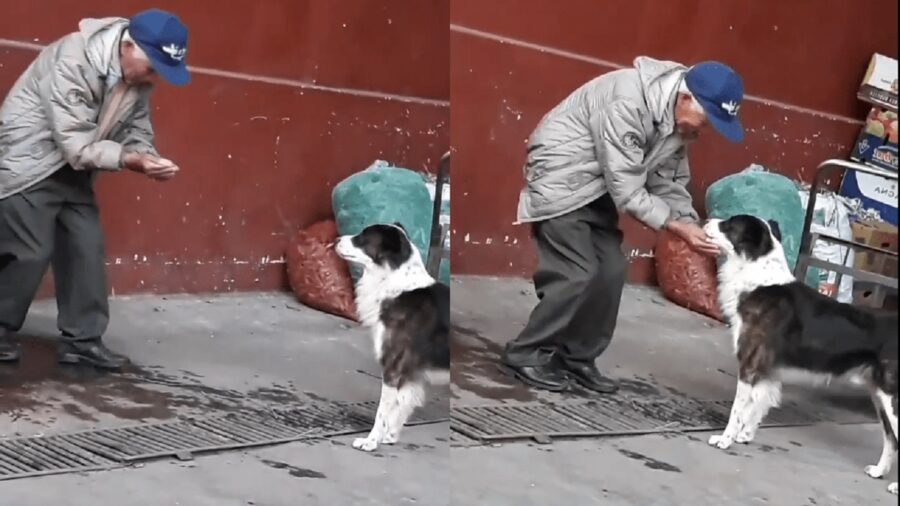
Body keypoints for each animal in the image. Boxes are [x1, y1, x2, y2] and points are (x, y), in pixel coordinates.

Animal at [334, 223, 450, 452]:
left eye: (362, 238)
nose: (335, 240)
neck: (395, 285)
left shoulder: (393, 368)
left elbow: (382, 412)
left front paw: (370, 441)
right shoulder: (410, 374)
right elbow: (402, 406)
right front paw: (390, 436)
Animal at [708, 213, 896, 494]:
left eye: (729, 225)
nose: (707, 221)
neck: (759, 279)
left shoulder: (750, 367)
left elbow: (737, 411)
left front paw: (726, 439)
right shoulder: (767, 372)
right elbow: (758, 407)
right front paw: (746, 436)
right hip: (880, 398)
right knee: (891, 441)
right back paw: (879, 472)